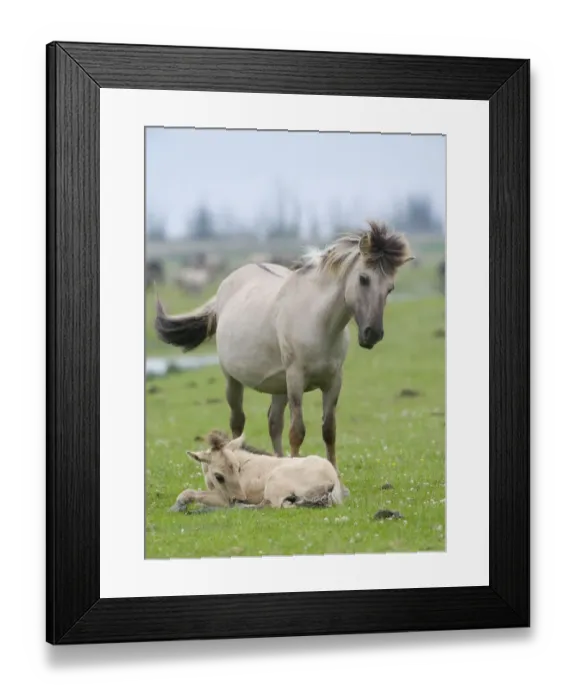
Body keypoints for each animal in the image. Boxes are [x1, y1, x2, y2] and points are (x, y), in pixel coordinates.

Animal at [155, 221, 414, 471]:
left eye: (390, 288)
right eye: (363, 279)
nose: (373, 334)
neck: (318, 322)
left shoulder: (333, 381)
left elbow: (329, 430)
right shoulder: (296, 379)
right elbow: (297, 431)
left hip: (279, 386)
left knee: (274, 423)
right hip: (234, 380)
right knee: (238, 424)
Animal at [170, 430, 345, 511]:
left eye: (238, 468)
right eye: (219, 476)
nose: (240, 499)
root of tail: (333, 479)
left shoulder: (224, 499)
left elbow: (189, 493)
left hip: (274, 483)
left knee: (273, 505)